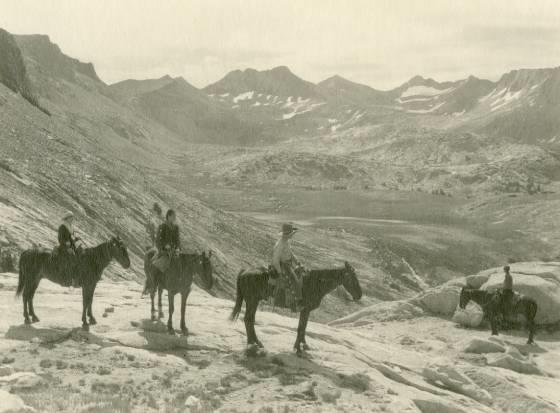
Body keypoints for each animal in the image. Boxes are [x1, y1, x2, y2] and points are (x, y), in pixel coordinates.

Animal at [229, 260, 364, 354]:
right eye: (352, 278)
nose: (359, 295)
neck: (315, 282)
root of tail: (244, 271)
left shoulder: (306, 311)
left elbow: (303, 327)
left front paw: (304, 345)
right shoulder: (305, 309)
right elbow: (301, 328)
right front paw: (298, 348)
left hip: (253, 301)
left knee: (249, 319)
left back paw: (255, 342)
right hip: (252, 301)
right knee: (248, 319)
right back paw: (253, 343)